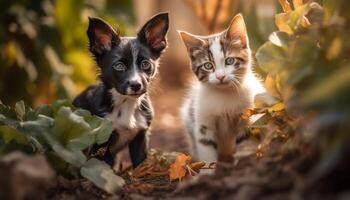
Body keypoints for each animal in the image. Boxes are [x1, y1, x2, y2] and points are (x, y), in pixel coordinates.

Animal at [73, 12, 169, 167]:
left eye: (145, 63)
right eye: (119, 66)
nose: (136, 85)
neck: (126, 103)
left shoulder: (140, 137)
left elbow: (139, 164)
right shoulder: (101, 143)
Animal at [179, 14, 264, 164]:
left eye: (229, 61)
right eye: (208, 65)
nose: (220, 76)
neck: (224, 94)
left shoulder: (247, 117)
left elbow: (244, 143)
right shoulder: (203, 123)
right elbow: (206, 147)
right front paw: (208, 168)